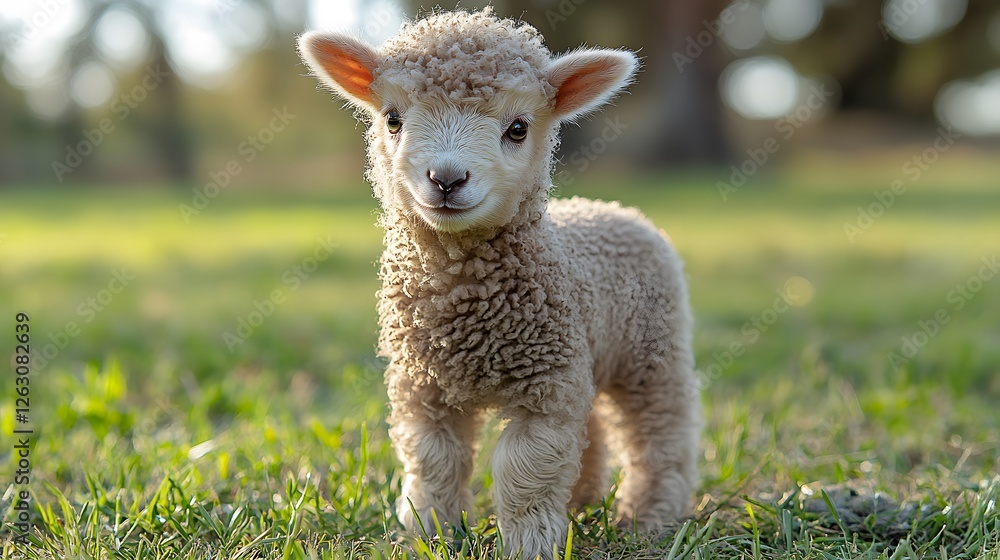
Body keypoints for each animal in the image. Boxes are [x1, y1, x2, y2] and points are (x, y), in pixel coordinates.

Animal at [297, 8, 701, 558]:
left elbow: (525, 471)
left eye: (517, 128)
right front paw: (430, 533)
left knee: (659, 432)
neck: (467, 307)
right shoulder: (424, 388)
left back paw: (650, 518)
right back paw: (582, 504)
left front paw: (529, 543)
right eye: (393, 119)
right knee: (592, 427)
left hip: (651, 352)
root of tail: (615, 208)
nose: (446, 179)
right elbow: (435, 463)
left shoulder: (542, 388)